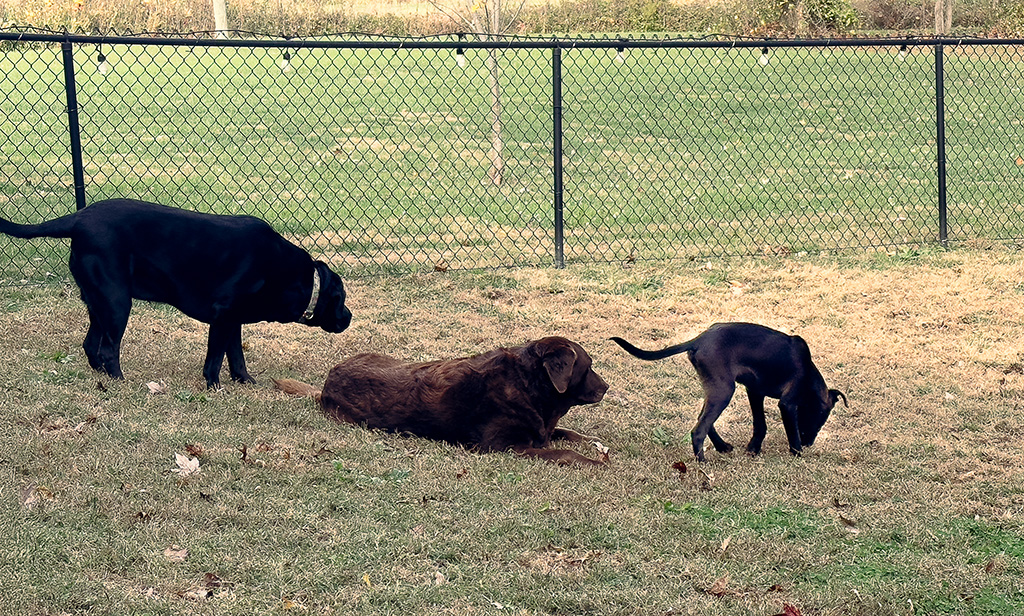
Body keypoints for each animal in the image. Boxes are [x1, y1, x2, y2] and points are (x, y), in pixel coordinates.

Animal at [0, 199, 352, 386]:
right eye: (342, 299)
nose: (348, 318)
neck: (285, 270)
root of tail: (79, 217)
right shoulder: (223, 317)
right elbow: (215, 359)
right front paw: (214, 386)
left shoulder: (233, 321)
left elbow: (236, 355)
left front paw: (244, 381)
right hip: (116, 301)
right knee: (108, 349)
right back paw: (120, 381)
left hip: (98, 302)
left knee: (91, 345)